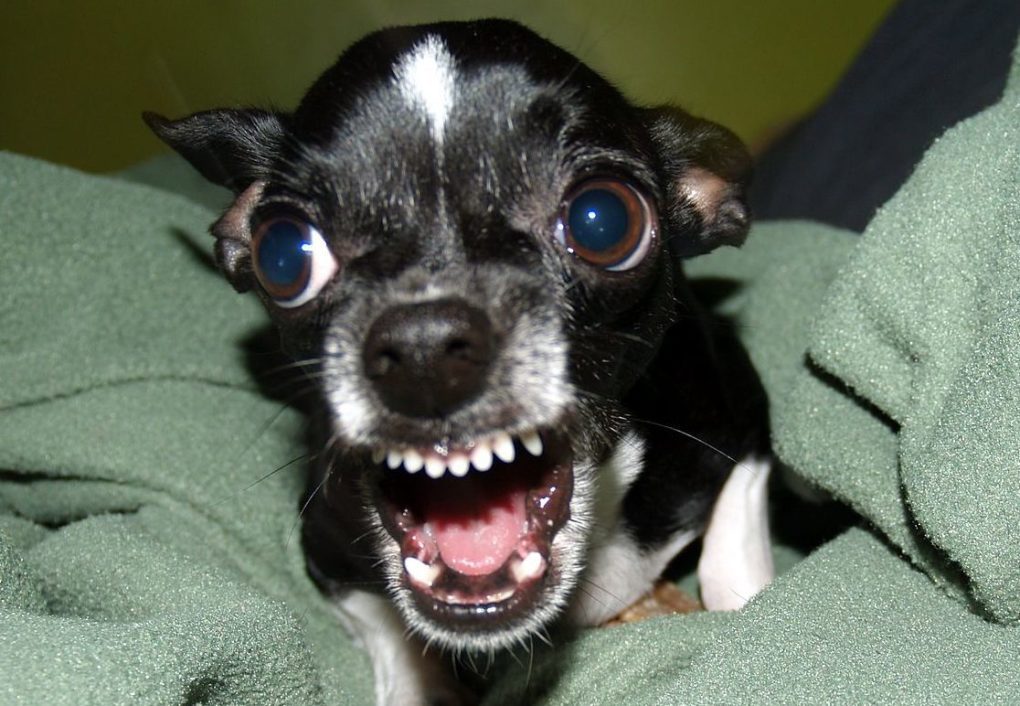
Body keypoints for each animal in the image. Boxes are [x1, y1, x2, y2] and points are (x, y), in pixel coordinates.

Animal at [147, 19, 771, 701]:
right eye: (284, 255)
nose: (424, 344)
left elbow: (737, 556)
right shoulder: (328, 553)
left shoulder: (739, 415)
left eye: (602, 221)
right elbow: (392, 636)